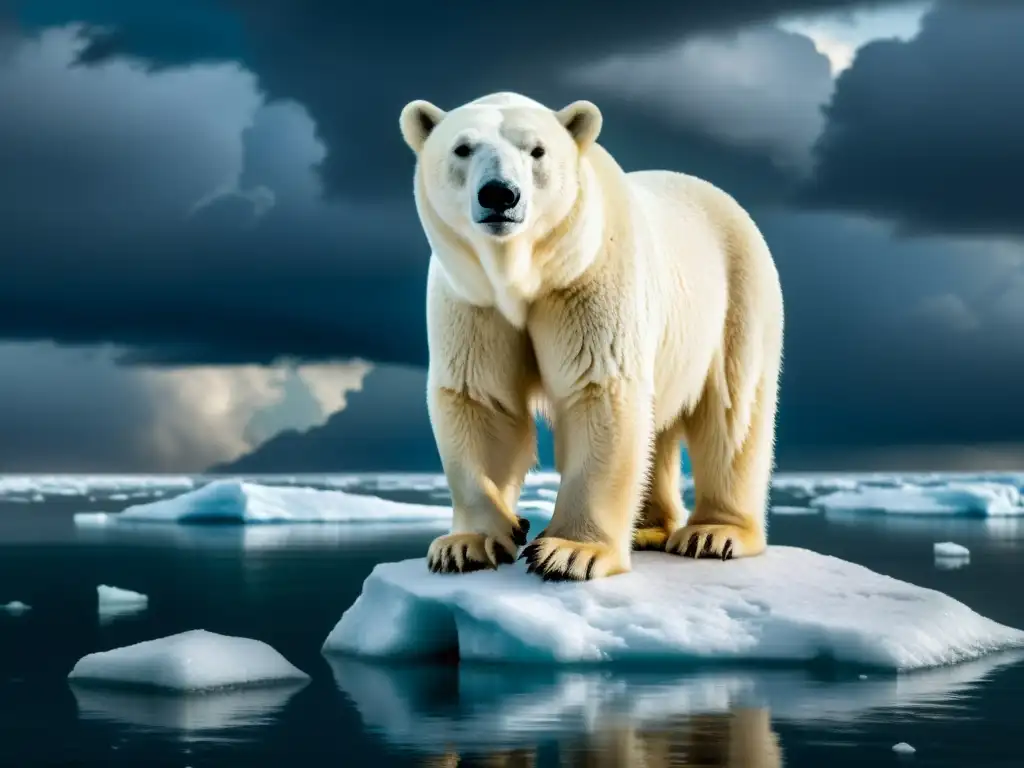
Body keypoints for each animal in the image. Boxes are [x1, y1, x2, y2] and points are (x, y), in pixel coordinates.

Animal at [399, 91, 782, 581]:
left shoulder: (588, 280)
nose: (500, 194)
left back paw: (715, 533)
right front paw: (466, 544)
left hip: (737, 293)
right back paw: (649, 528)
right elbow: (481, 398)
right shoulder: (472, 299)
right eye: (463, 148)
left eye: (537, 150)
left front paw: (569, 552)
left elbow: (599, 388)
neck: (523, 274)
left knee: (733, 411)